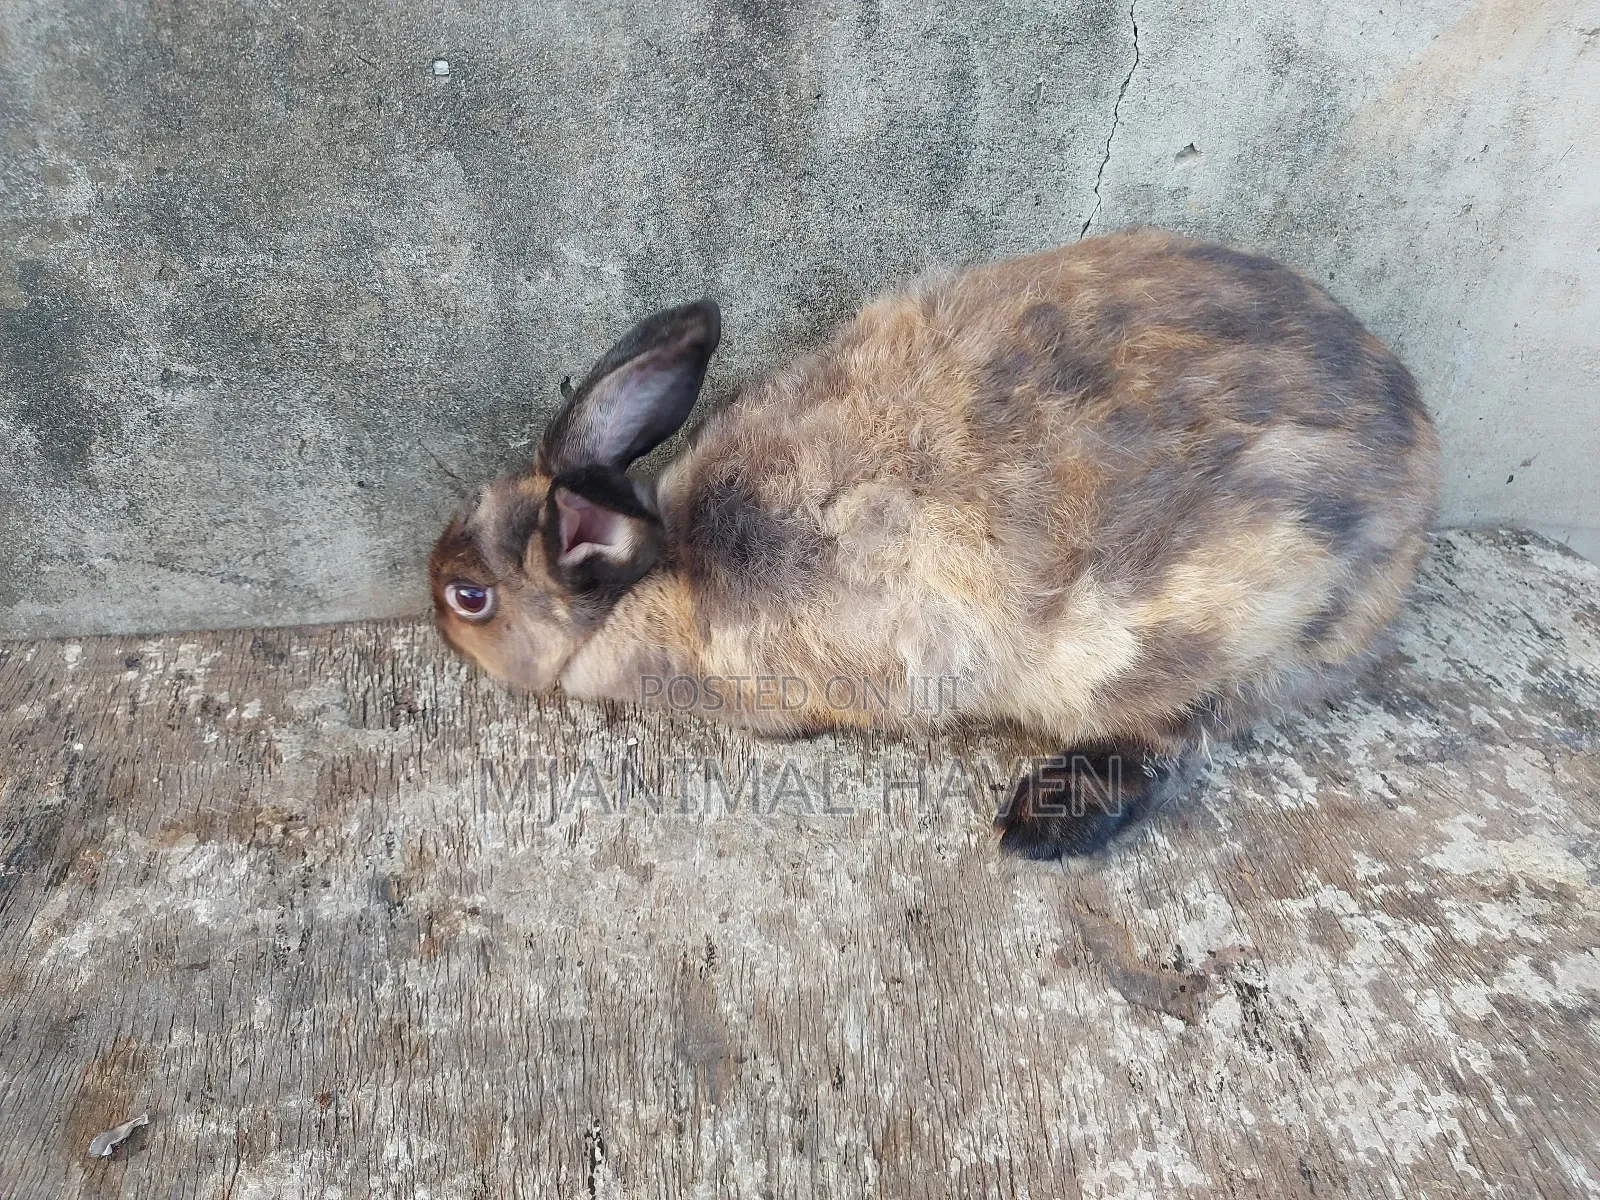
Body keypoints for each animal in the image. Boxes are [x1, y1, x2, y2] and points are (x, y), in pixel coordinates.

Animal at [430, 228, 1441, 857]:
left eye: (469, 598)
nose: (434, 602)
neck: (664, 575)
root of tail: (1417, 494)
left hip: (1189, 631)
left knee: (1170, 739)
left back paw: (1044, 823)